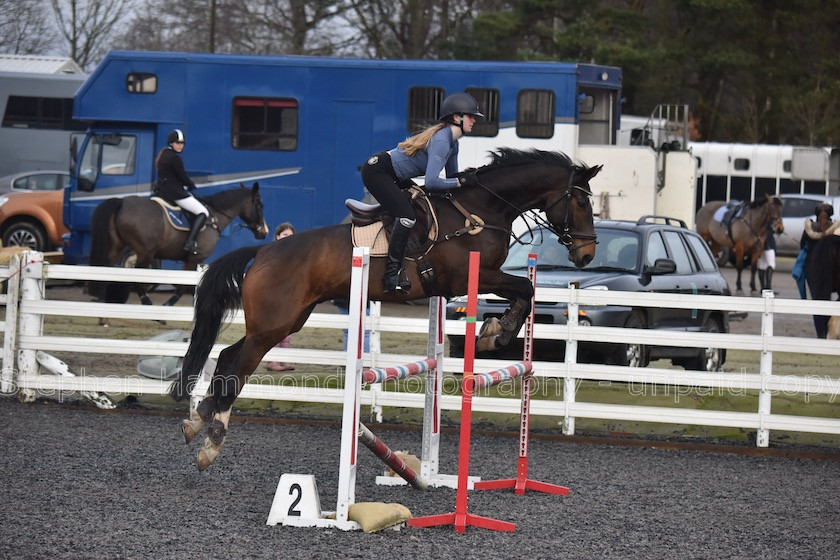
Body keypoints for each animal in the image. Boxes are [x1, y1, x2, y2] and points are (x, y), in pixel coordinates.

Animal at [87, 182, 268, 306]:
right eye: (259, 204)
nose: (264, 231)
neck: (214, 217)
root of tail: (122, 202)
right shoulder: (195, 258)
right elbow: (182, 286)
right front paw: (168, 305)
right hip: (145, 252)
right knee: (136, 278)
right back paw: (148, 305)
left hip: (117, 247)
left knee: (105, 270)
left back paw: (101, 302)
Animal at [171, 149, 600, 472]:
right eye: (580, 201)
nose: (586, 254)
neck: (481, 211)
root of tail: (263, 250)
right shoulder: (474, 277)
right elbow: (525, 288)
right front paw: (498, 332)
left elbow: (525, 291)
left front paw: (496, 330)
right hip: (272, 325)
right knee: (239, 366)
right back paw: (212, 441)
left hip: (286, 320)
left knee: (229, 356)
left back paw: (199, 418)